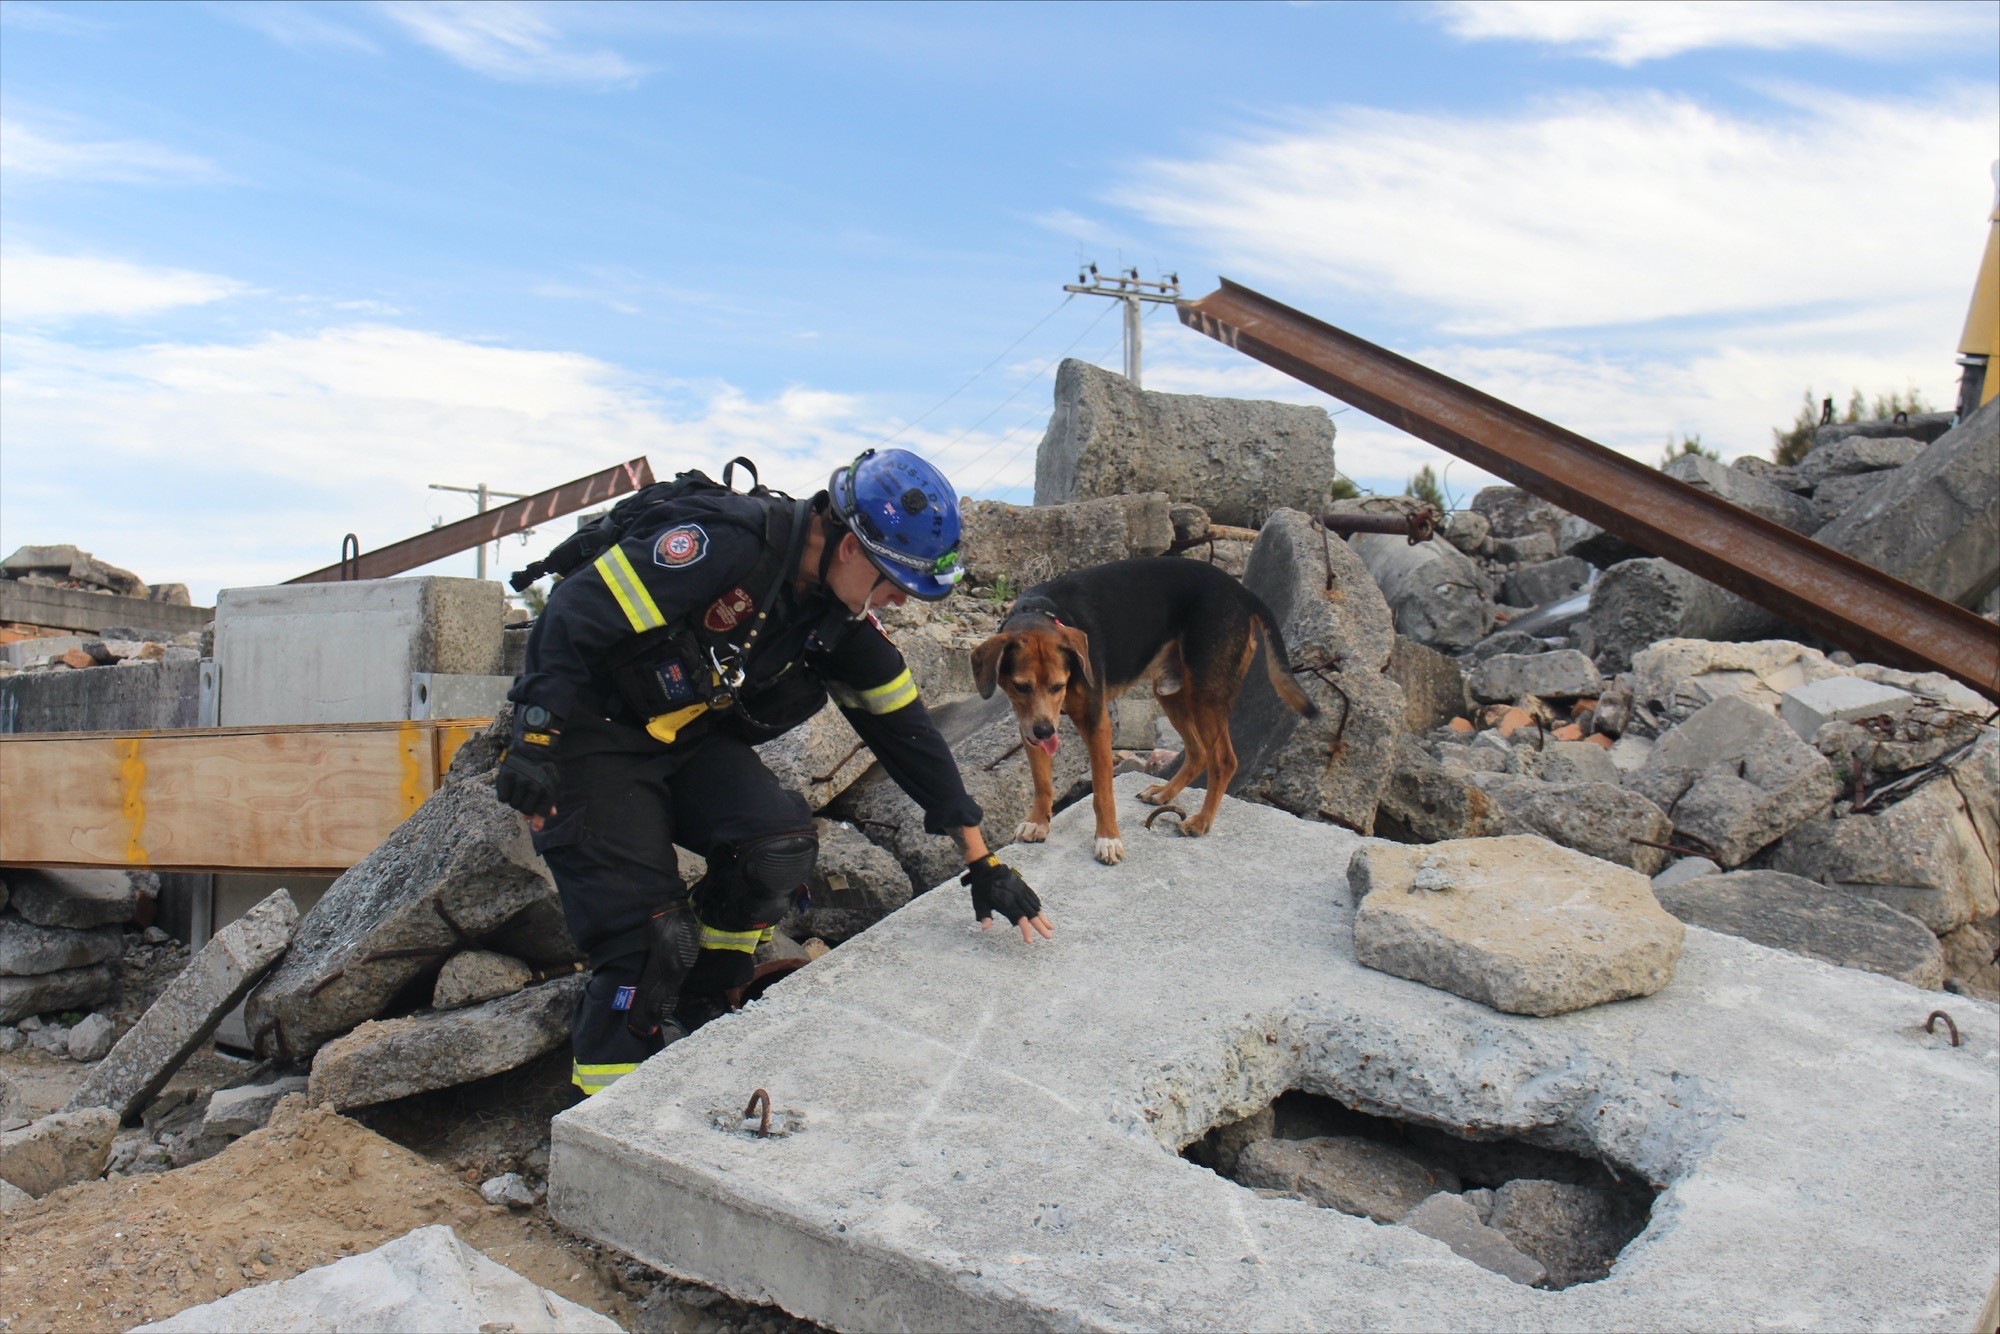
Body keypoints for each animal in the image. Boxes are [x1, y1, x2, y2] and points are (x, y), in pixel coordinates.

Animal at [972, 552, 1320, 868]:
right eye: (1021, 686)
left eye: (1059, 686)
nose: (1045, 732)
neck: (1041, 611)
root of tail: (1242, 591)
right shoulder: (1028, 725)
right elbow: (1042, 782)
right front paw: (1038, 822)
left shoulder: (1096, 724)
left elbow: (1102, 793)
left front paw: (1108, 840)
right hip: (1172, 693)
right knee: (1198, 753)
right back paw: (1164, 793)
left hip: (1205, 696)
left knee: (1223, 759)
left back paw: (1201, 821)